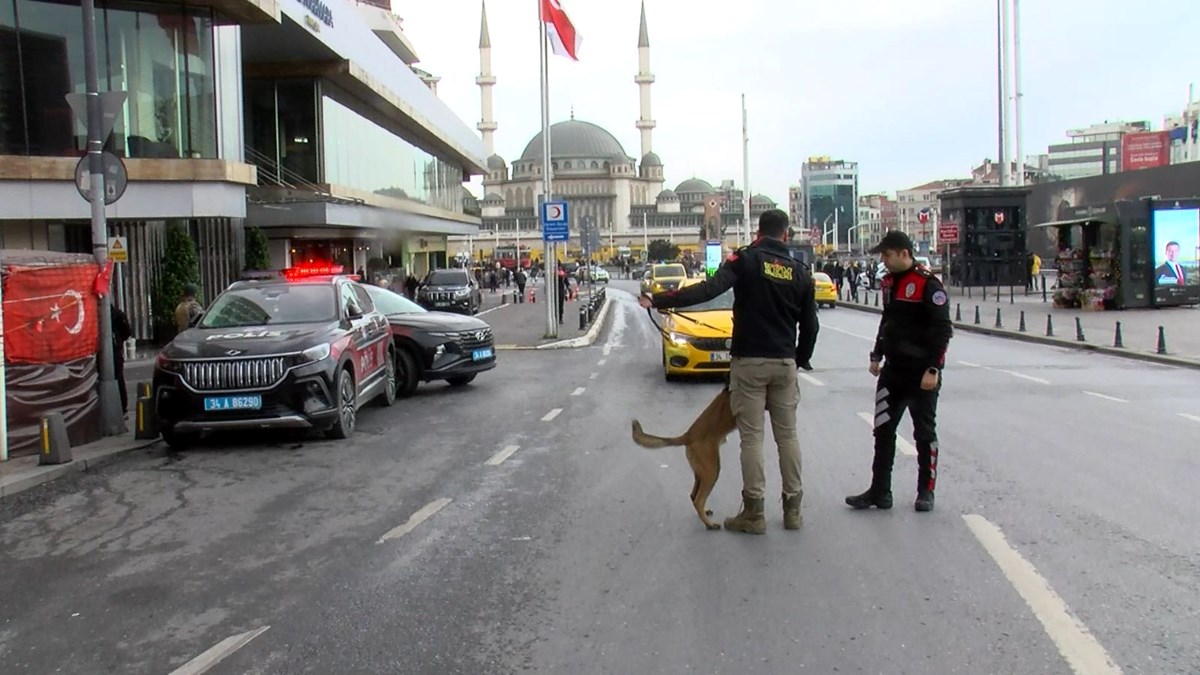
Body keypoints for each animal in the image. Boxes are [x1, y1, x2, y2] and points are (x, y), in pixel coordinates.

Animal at [633, 386, 734, 528]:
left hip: (701, 471)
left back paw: (705, 514)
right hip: (712, 470)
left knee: (693, 495)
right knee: (698, 500)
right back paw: (709, 524)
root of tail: (688, 436)